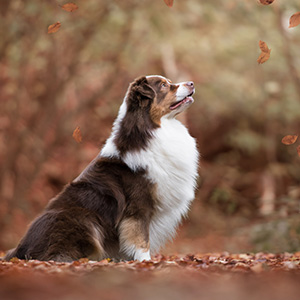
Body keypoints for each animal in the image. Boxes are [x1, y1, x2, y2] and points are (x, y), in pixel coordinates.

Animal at [5, 75, 199, 262]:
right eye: (164, 85)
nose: (191, 83)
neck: (152, 129)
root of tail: (20, 248)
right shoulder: (138, 208)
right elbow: (141, 240)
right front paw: (146, 262)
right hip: (83, 220)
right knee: (58, 256)